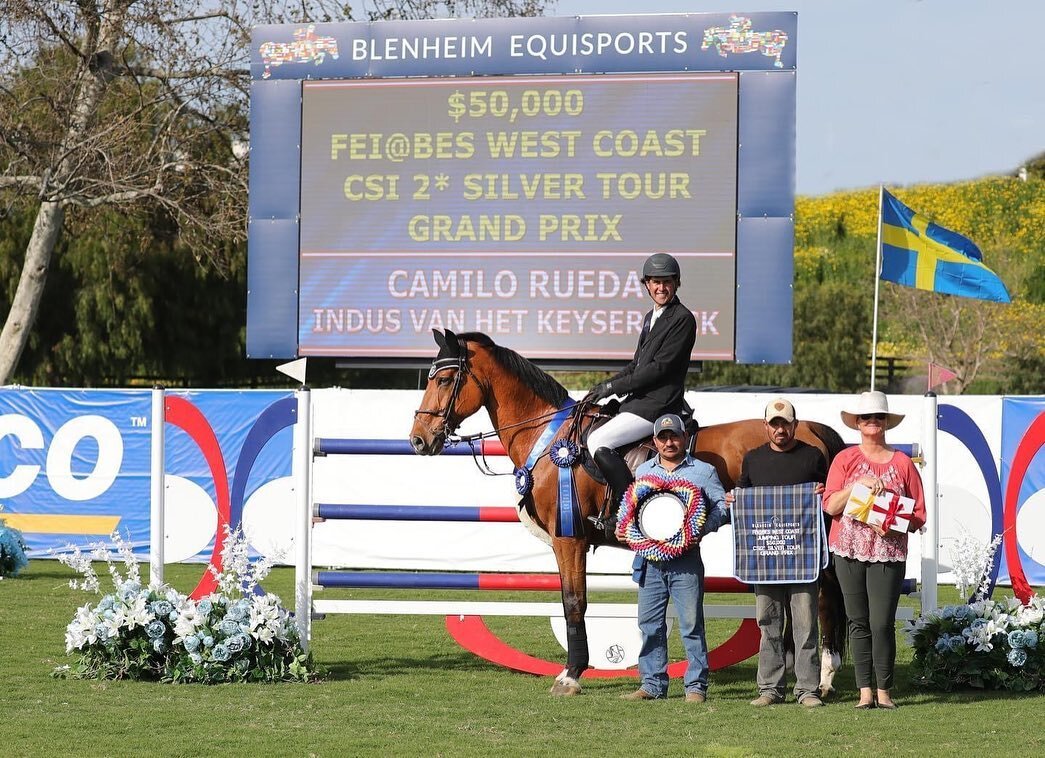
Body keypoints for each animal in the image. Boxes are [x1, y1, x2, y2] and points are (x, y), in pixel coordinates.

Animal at [409, 328, 848, 694]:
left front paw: (571, 675)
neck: (548, 439)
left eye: (444, 380)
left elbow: (574, 602)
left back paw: (825, 676)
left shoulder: (568, 540)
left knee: (825, 591)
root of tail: (813, 428)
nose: (418, 439)